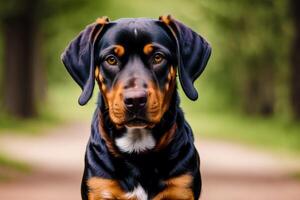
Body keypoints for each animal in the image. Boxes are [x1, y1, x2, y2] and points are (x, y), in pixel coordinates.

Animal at [61, 15, 211, 200]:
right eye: (111, 59)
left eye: (158, 57)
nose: (135, 100)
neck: (137, 150)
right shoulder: (100, 188)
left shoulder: (181, 188)